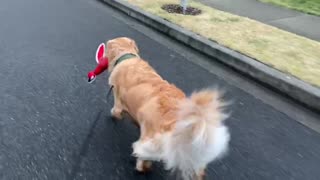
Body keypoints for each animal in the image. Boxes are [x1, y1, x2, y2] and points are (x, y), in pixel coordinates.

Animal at [104, 37, 229, 179]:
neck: (127, 57)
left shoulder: (118, 100)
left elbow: (115, 111)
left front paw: (115, 116)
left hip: (151, 140)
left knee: (143, 157)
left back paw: (142, 167)